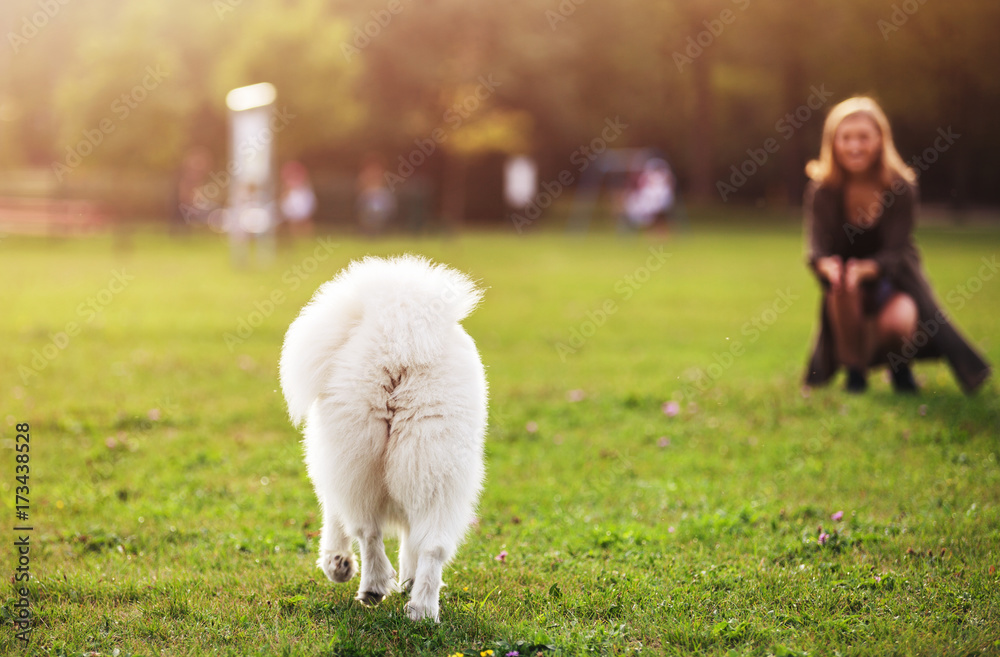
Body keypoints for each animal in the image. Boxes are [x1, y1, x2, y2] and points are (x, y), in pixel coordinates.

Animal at [278, 255, 488, 620]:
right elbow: (410, 540)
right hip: (436, 457)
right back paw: (422, 608)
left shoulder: (329, 468)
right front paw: (407, 580)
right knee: (432, 543)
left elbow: (334, 517)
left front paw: (337, 565)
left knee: (368, 530)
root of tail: (397, 347)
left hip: (355, 454)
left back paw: (373, 588)